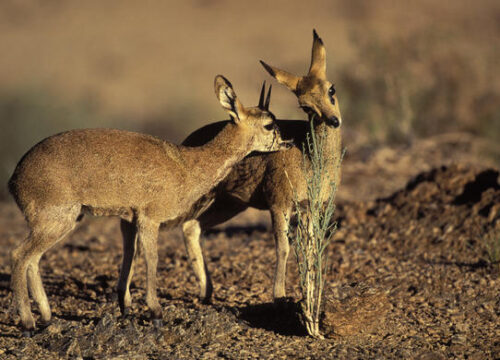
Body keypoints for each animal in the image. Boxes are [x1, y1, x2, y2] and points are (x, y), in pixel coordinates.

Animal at [8, 74, 290, 336]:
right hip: (56, 221)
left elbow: (131, 257)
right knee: (19, 256)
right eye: (269, 124)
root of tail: (15, 178)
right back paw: (28, 324)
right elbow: (152, 258)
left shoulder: (130, 220)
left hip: (65, 221)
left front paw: (128, 308)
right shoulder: (149, 218)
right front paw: (156, 313)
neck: (187, 165)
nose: (288, 142)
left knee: (33, 260)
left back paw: (47, 318)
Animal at [183, 31, 344, 306]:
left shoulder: (311, 208)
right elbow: (284, 247)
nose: (334, 120)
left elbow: (311, 248)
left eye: (331, 89)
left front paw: (310, 293)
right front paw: (280, 295)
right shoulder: (279, 204)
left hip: (230, 204)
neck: (310, 157)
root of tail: (187, 140)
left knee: (193, 227)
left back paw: (207, 293)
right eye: (305, 105)